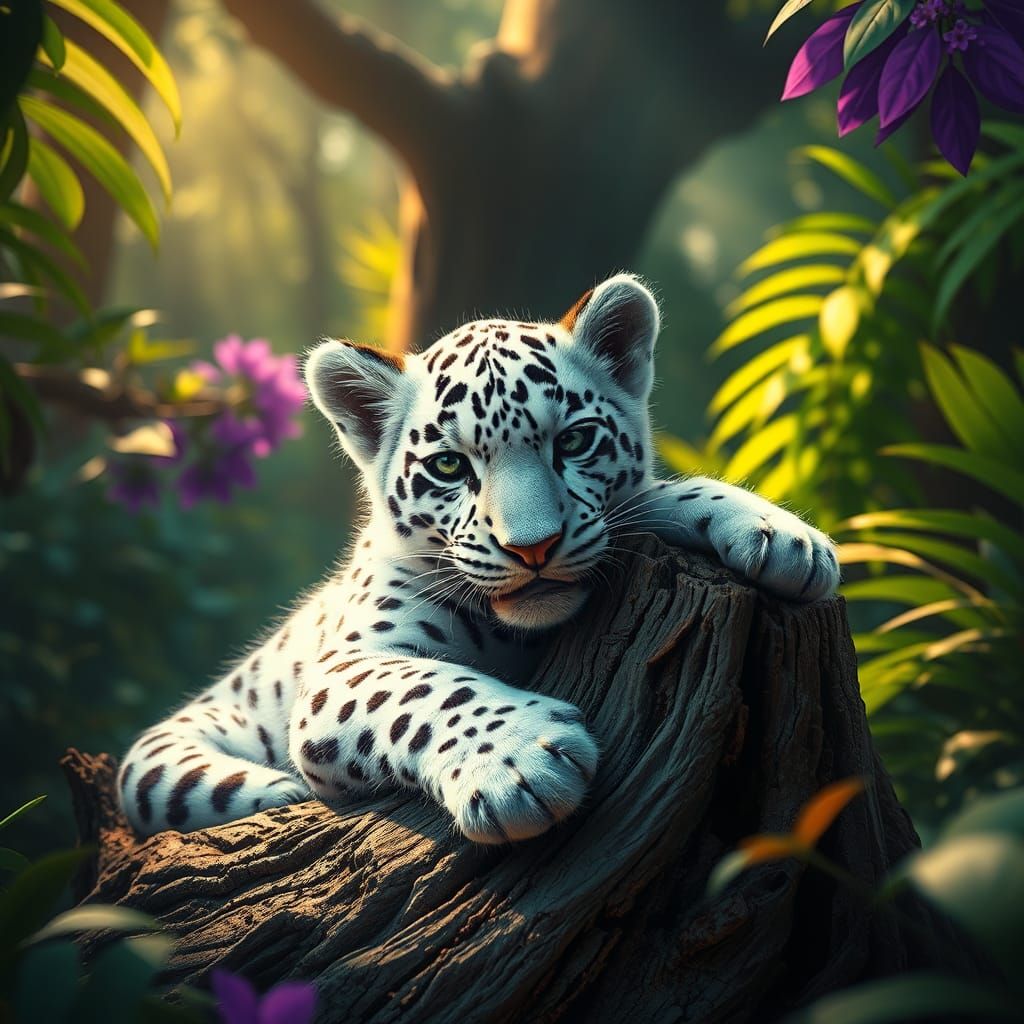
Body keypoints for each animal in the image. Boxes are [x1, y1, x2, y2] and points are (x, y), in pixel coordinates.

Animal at [118, 274, 839, 844]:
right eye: (447, 466)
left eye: (574, 442)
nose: (533, 547)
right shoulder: (340, 669)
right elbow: (423, 687)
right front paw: (521, 765)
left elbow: (654, 496)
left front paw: (783, 538)